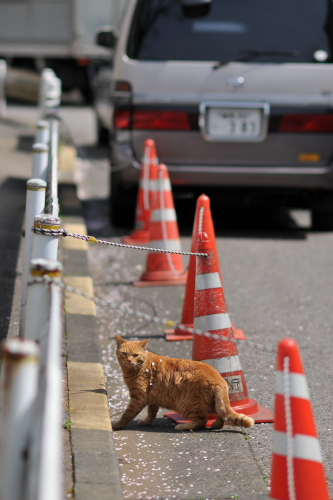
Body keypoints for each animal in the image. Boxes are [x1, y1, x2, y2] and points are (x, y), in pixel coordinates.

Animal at [113, 338, 253, 432]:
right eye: (124, 354)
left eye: (135, 355)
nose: (129, 360)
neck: (139, 367)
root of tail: (219, 378)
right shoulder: (153, 398)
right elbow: (151, 413)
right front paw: (146, 422)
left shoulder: (138, 398)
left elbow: (126, 415)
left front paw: (116, 425)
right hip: (213, 403)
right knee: (221, 414)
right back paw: (217, 425)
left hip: (187, 404)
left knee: (202, 420)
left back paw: (182, 426)